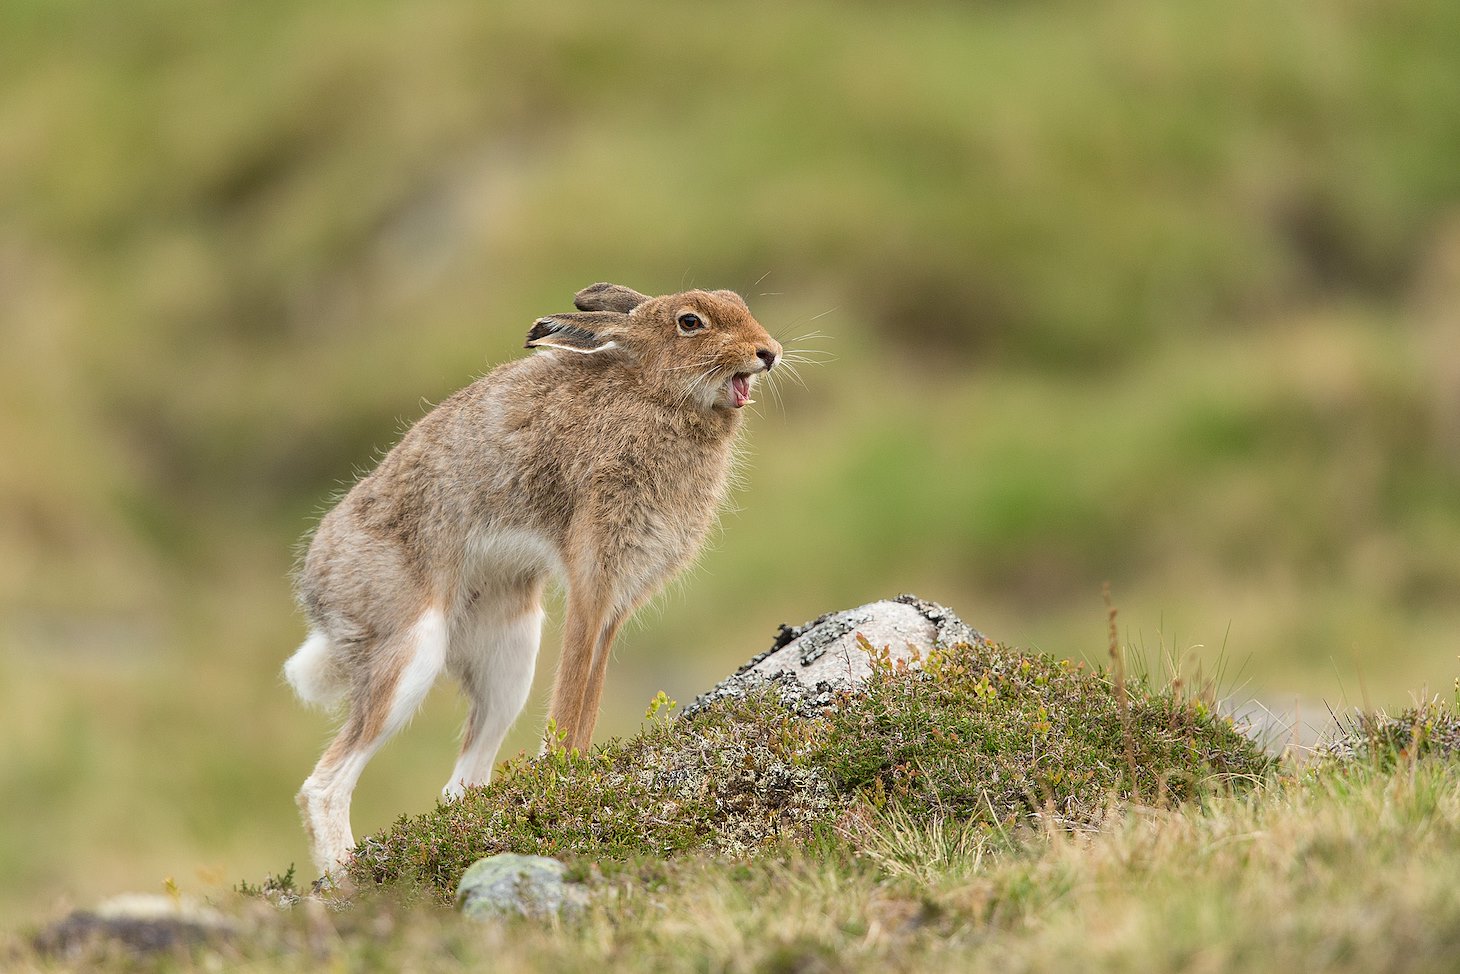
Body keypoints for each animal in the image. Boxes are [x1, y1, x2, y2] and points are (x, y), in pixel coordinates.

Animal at [284, 282, 782, 878]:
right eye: (690, 322)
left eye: (737, 301)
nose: (770, 352)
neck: (656, 395)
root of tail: (317, 588)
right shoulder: (593, 575)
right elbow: (571, 690)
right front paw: (562, 772)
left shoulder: (615, 604)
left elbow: (590, 691)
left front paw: (577, 767)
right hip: (409, 646)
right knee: (324, 785)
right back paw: (345, 883)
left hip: (510, 651)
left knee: (459, 781)